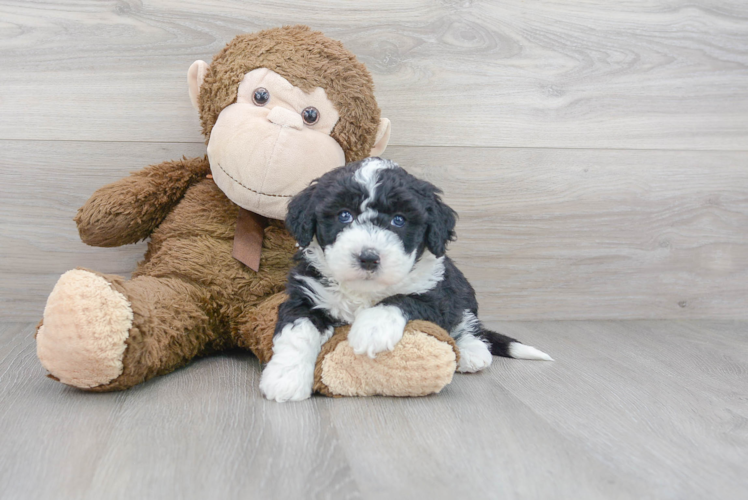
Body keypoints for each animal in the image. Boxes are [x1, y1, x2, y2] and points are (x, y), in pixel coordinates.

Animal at [260, 159, 552, 402]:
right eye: (344, 215)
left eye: (399, 220)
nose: (368, 258)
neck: (364, 291)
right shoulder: (307, 295)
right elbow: (297, 332)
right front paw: (285, 378)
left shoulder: (437, 294)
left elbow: (402, 298)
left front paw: (372, 329)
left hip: (463, 289)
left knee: (468, 322)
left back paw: (473, 352)